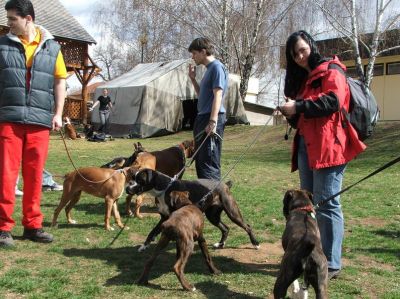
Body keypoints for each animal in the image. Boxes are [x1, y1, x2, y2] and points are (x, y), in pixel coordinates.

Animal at [126, 169, 260, 253]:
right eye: (133, 178)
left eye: (140, 179)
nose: (127, 188)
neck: (164, 189)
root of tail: (225, 185)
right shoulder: (164, 217)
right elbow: (152, 232)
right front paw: (144, 246)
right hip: (213, 216)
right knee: (225, 228)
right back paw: (220, 244)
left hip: (232, 212)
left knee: (247, 226)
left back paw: (255, 243)